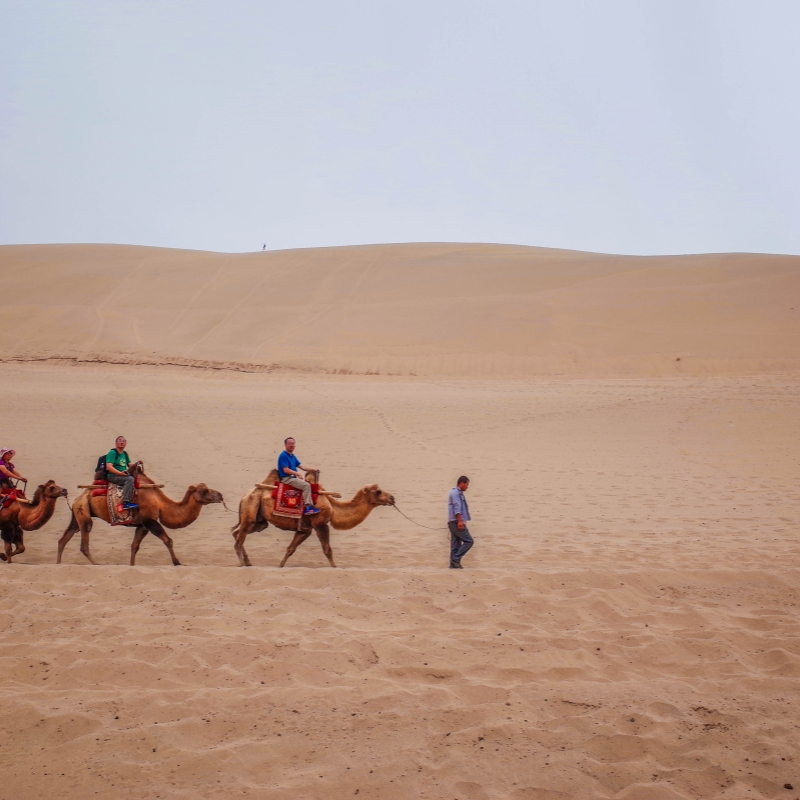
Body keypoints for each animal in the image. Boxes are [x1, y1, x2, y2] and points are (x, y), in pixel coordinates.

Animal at [56, 460, 223, 564]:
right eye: (204, 491)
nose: (220, 495)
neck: (160, 503)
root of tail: (79, 497)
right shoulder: (150, 521)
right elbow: (168, 540)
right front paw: (177, 563)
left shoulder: (142, 525)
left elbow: (134, 546)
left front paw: (132, 566)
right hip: (83, 511)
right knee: (84, 541)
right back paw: (97, 564)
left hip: (78, 512)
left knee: (64, 538)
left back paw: (58, 563)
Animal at [230, 468, 396, 568]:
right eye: (378, 492)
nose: (392, 498)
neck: (333, 506)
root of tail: (245, 495)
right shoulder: (320, 524)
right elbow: (327, 549)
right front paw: (335, 567)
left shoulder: (305, 529)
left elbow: (290, 549)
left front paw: (280, 566)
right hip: (251, 508)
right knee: (239, 540)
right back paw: (242, 565)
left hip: (259, 521)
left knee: (237, 533)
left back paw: (248, 562)